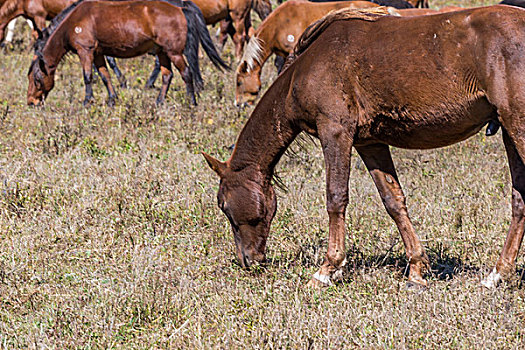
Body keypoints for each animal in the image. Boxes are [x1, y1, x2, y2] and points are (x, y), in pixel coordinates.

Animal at [26, 0, 227, 106]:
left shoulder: (86, 51)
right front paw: (112, 99)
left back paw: (191, 102)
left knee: (186, 73)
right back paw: (159, 102)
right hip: (162, 52)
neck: (74, 22)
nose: (31, 102)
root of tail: (181, 8)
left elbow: (88, 76)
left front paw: (87, 101)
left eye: (37, 79)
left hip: (174, 52)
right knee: (167, 76)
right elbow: (105, 75)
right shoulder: (98, 53)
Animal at [205, 5, 525, 288]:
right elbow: (393, 201)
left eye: (224, 206)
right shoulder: (371, 143)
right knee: (519, 201)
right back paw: (497, 274)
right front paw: (416, 270)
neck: (305, 68)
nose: (248, 261)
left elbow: (336, 198)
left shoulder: (335, 132)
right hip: (510, 133)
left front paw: (328, 269)